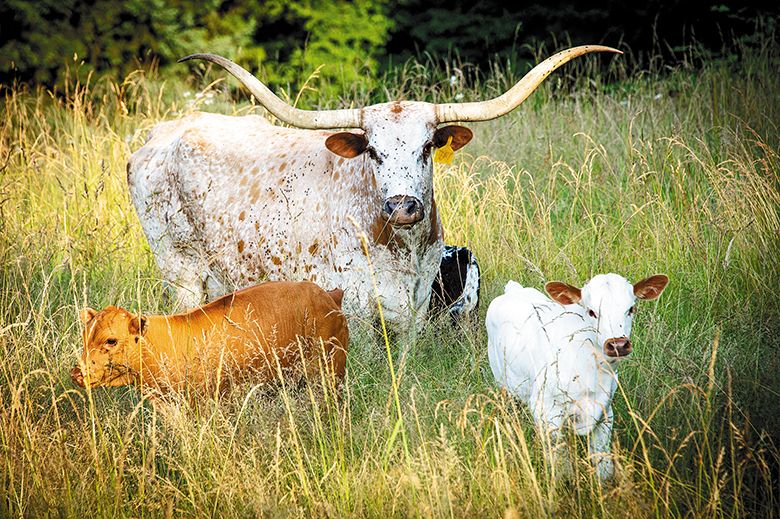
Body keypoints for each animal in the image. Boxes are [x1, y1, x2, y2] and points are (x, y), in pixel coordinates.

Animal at [128, 45, 620, 330]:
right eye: (374, 152)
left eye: (427, 146)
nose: (403, 206)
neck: (403, 252)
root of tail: (163, 133)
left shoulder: (415, 314)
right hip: (181, 271)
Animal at [484, 274, 668, 482]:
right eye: (591, 312)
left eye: (631, 309)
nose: (618, 345)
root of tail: (514, 290)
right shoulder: (546, 413)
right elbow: (561, 466)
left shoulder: (605, 412)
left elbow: (603, 466)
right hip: (505, 388)